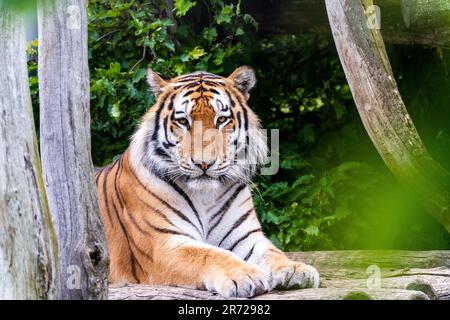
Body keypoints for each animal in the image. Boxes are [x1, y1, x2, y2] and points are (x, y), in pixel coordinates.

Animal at [95, 65, 320, 298]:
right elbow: (209, 255)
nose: (204, 163)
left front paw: (295, 269)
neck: (205, 196)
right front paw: (246, 274)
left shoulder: (245, 236)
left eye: (221, 120)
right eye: (183, 121)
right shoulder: (162, 242)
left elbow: (272, 252)